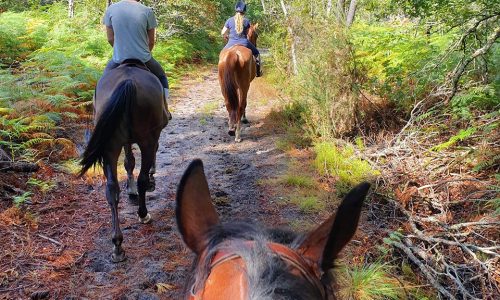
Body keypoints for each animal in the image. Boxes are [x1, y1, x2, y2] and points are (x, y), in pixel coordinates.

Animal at [80, 61, 169, 262]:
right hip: (146, 139)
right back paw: (143, 214)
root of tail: (128, 82)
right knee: (141, 177)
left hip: (110, 147)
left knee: (112, 189)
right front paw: (151, 178)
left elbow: (129, 162)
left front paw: (130, 190)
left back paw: (117, 245)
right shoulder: (153, 137)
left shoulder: (125, 141)